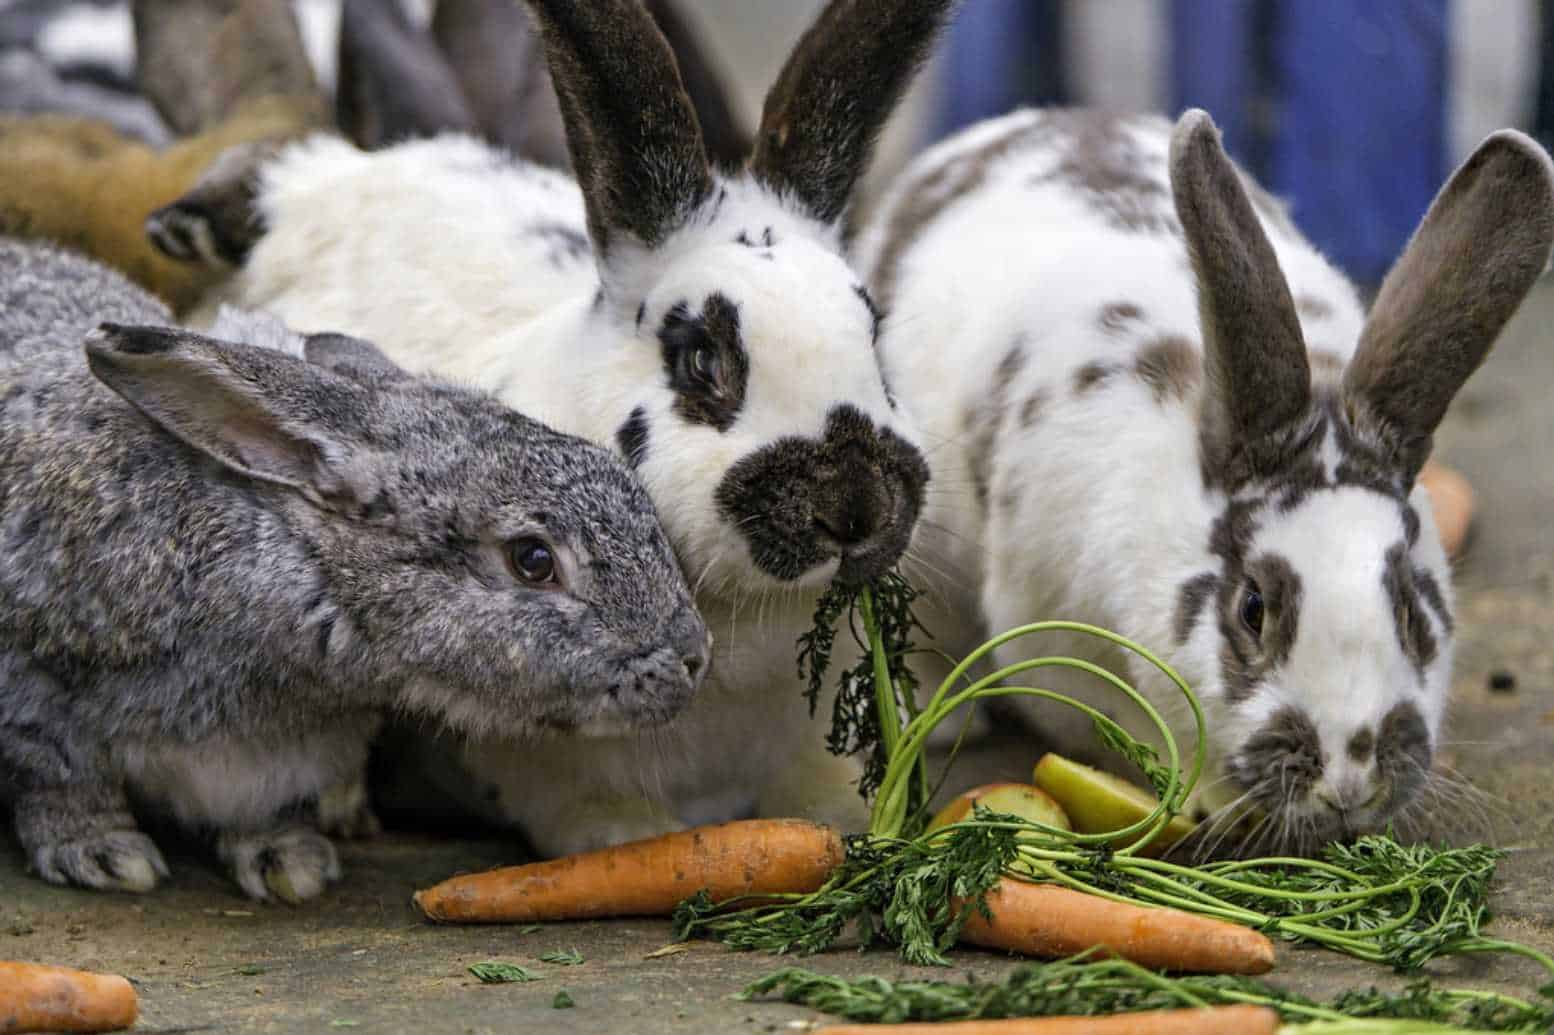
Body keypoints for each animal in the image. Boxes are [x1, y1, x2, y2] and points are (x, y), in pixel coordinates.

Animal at [0, 236, 711, 895]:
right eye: (533, 560)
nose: (693, 657)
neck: (303, 566)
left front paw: (290, 863)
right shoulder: (40, 696)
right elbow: (63, 781)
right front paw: (105, 855)